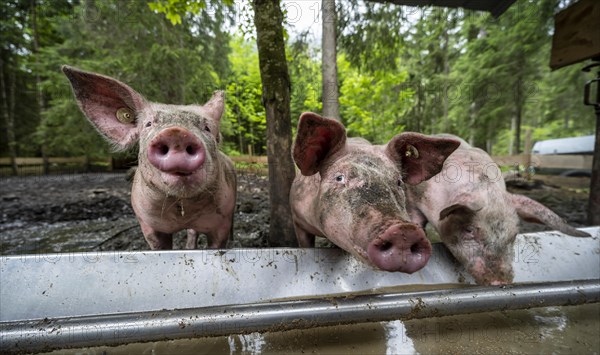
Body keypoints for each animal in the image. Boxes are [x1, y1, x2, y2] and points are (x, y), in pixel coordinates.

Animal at [62, 66, 236, 250]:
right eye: (148, 124)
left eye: (207, 128)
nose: (177, 133)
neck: (181, 208)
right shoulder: (147, 223)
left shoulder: (221, 221)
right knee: (191, 232)